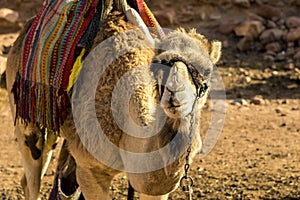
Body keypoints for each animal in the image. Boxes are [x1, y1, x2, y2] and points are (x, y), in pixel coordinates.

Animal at [4, 0, 220, 199]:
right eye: (158, 65)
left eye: (208, 70)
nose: (176, 97)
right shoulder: (90, 170)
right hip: (26, 115)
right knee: (32, 173)